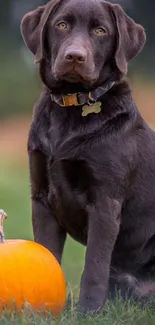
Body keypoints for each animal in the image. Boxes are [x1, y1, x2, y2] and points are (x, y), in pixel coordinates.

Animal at [20, 0, 155, 314]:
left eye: (100, 30)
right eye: (61, 25)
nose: (74, 56)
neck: (71, 108)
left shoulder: (105, 201)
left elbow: (94, 264)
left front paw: (88, 311)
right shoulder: (41, 197)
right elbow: (47, 252)